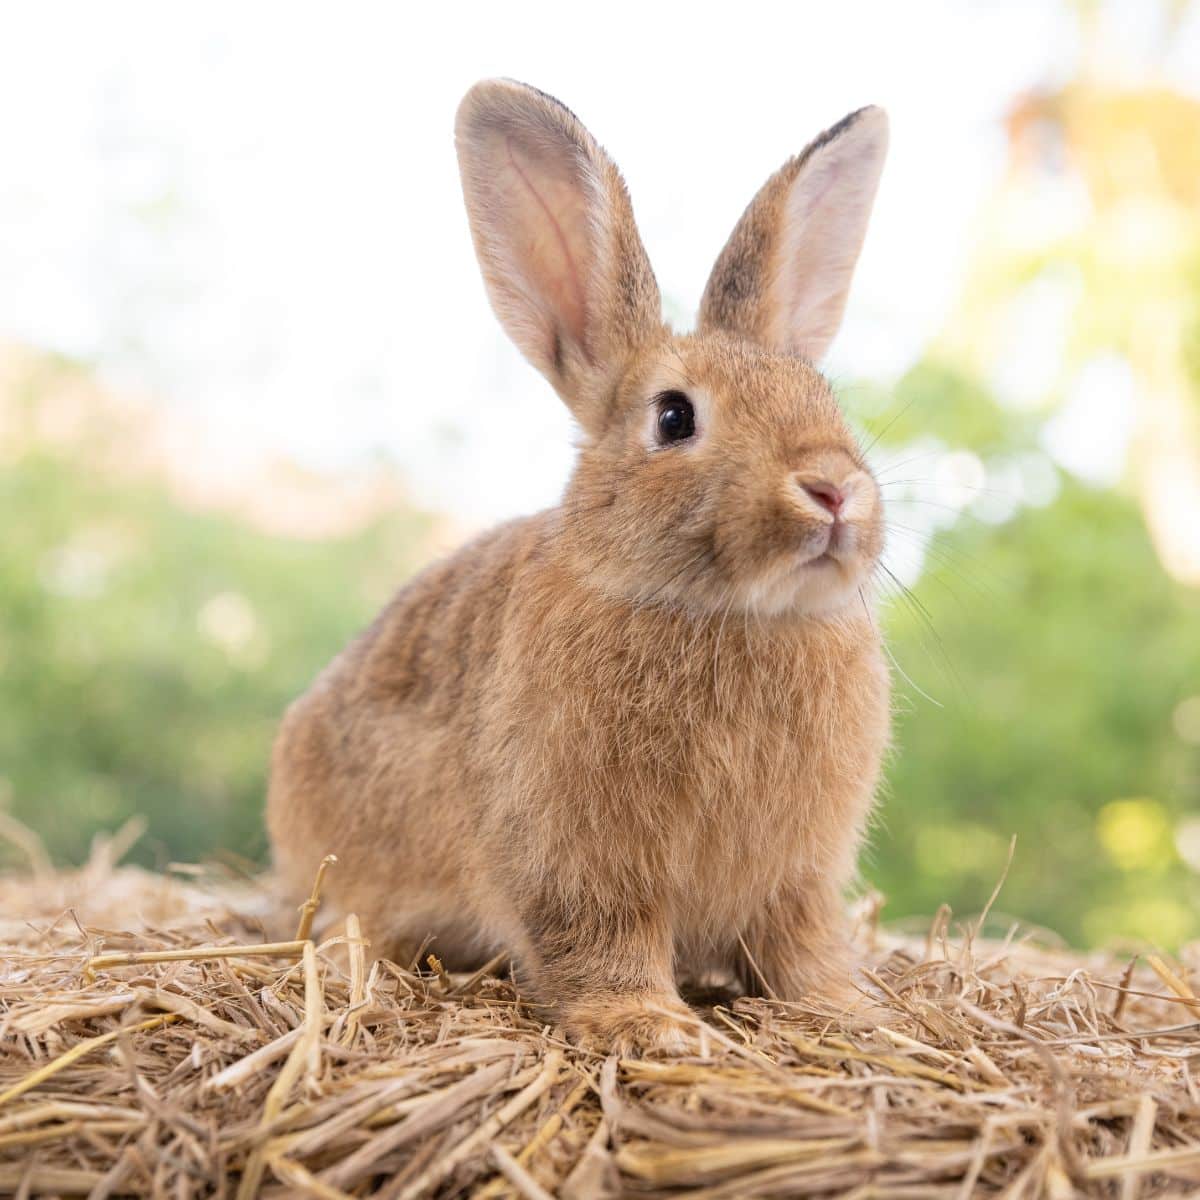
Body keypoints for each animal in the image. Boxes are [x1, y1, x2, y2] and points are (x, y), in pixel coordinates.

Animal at [272, 77, 892, 1051]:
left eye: (824, 398)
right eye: (674, 417)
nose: (833, 490)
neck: (724, 611)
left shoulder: (795, 884)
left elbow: (801, 951)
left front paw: (845, 1010)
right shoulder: (579, 861)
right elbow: (604, 940)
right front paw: (646, 1026)